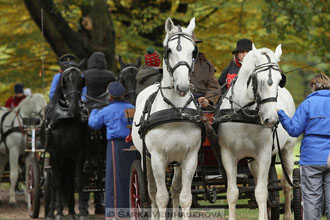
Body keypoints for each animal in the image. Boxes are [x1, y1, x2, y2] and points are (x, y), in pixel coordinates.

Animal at [43, 65, 87, 220]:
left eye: (81, 82)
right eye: (65, 82)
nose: (74, 108)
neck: (66, 118)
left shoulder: (80, 152)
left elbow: (78, 182)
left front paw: (82, 212)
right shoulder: (55, 152)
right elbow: (55, 183)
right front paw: (52, 213)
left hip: (68, 159)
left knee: (68, 181)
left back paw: (72, 211)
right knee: (58, 181)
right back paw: (59, 211)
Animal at [133, 17, 202, 220]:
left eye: (193, 51)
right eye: (169, 50)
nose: (183, 86)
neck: (176, 110)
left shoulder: (190, 158)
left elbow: (185, 197)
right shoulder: (157, 158)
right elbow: (161, 197)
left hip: (177, 162)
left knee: (176, 189)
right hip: (146, 158)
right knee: (152, 192)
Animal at [217, 44, 296, 220]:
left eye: (279, 81)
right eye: (258, 80)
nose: (271, 119)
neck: (243, 115)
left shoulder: (264, 153)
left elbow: (261, 192)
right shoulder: (227, 155)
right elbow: (232, 193)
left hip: (287, 149)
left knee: (286, 185)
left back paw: (288, 214)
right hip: (252, 161)